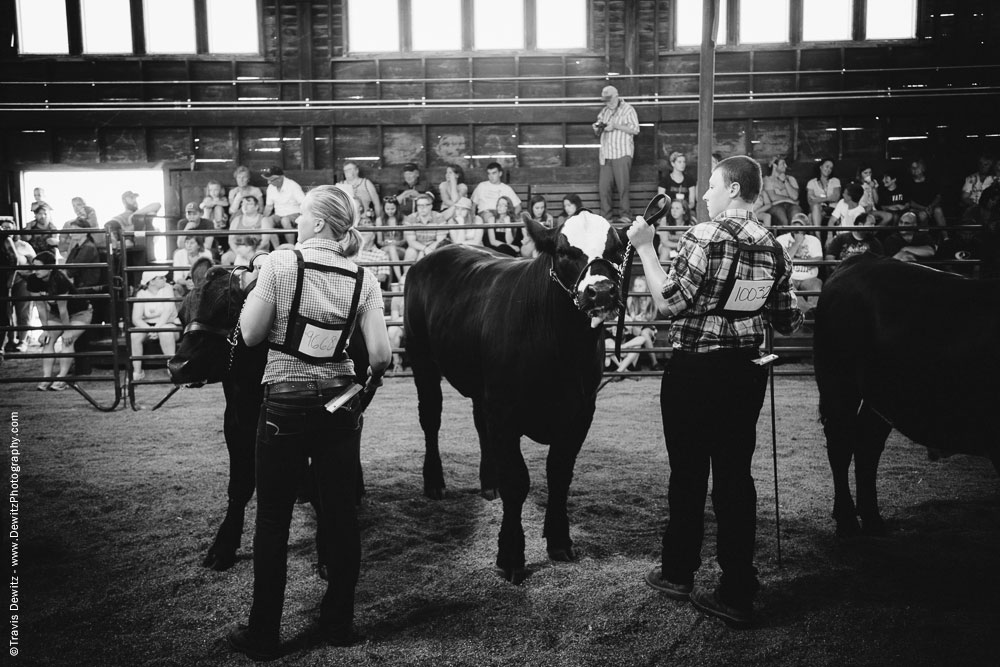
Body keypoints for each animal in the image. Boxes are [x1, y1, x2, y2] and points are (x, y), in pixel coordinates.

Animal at [404, 211, 624, 580]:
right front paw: (510, 555)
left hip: (482, 388)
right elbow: (517, 481)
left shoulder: (580, 412)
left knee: (479, 423)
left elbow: (559, 474)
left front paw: (559, 540)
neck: (562, 349)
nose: (602, 292)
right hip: (422, 358)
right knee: (430, 417)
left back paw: (488, 481)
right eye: (564, 251)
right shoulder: (505, 410)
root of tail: (438, 252)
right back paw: (434, 482)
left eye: (617, 249)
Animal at [816, 254, 996, 536]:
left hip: (881, 396)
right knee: (841, 444)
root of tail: (856, 260)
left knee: (867, 444)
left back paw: (873, 520)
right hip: (838, 383)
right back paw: (847, 522)